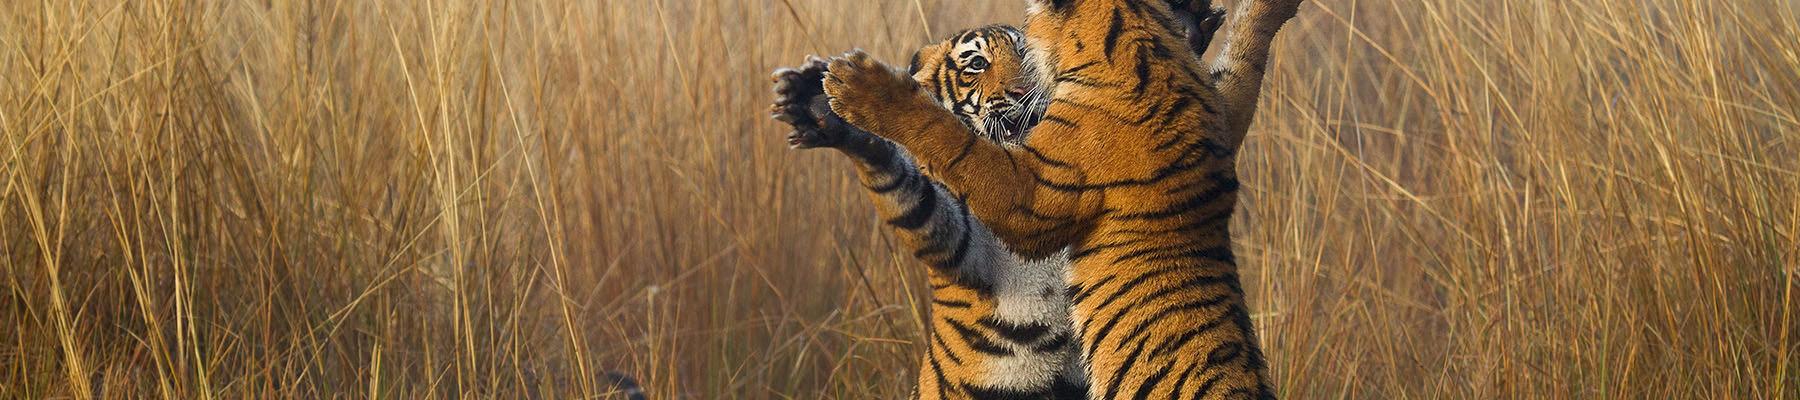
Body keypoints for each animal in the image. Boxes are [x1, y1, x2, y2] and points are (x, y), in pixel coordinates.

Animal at [817, 0, 1310, 400]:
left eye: (1023, 51)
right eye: (976, 63)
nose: (1019, 94)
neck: (1146, 50)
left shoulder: (1029, 195)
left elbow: (952, 139)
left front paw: (861, 87)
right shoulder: (1219, 113)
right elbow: (1241, 66)